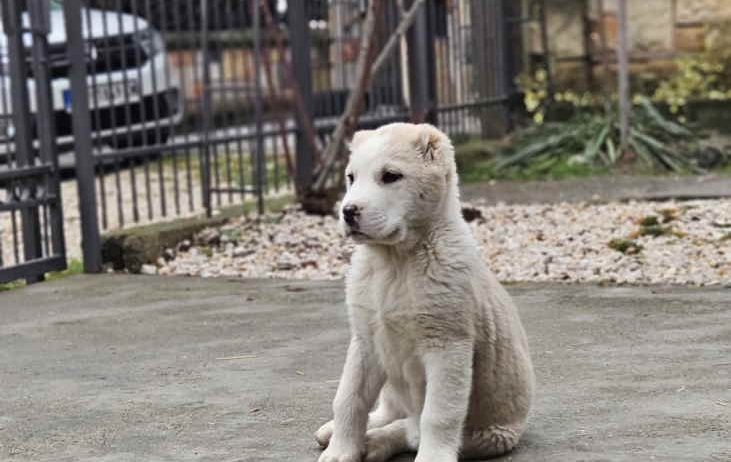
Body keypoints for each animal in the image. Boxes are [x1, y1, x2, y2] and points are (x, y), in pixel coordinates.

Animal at [318, 122, 536, 462]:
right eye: (351, 178)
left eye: (390, 176)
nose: (348, 211)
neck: (394, 262)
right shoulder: (365, 341)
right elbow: (349, 397)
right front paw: (341, 450)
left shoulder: (447, 346)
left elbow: (438, 414)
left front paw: (432, 456)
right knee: (392, 411)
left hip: (488, 434)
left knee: (412, 429)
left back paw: (377, 442)